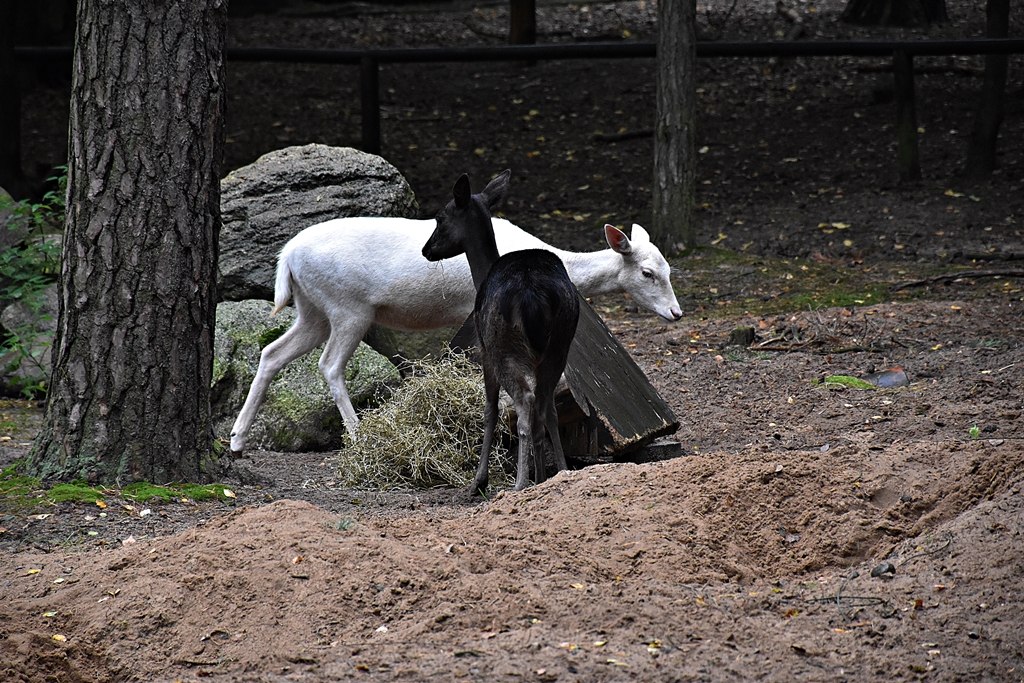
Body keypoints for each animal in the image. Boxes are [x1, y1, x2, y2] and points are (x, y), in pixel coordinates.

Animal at [228, 181, 682, 455]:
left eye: (669, 268)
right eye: (647, 272)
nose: (676, 312)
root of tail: (287, 256)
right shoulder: (474, 312)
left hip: (312, 308)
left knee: (271, 352)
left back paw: (237, 438)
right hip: (347, 307)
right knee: (329, 365)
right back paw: (359, 437)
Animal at [422, 170, 579, 492]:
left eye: (440, 218)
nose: (426, 249)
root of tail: (533, 294)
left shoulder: (482, 350)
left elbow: (489, 410)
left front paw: (478, 481)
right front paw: (541, 476)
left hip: (502, 344)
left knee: (524, 400)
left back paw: (518, 483)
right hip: (560, 343)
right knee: (547, 405)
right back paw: (559, 472)